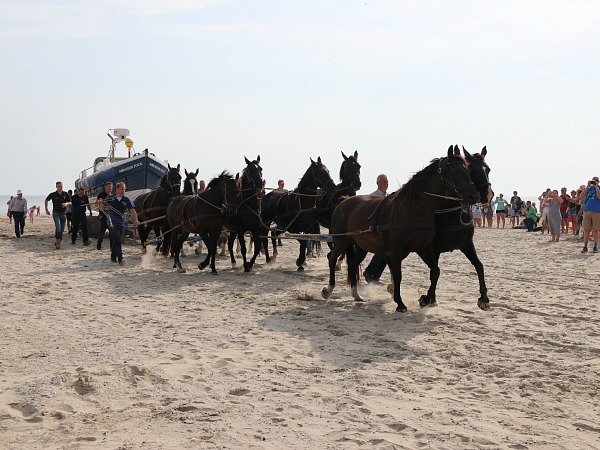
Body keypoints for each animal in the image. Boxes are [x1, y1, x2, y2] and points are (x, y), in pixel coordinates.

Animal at [322, 146, 480, 312]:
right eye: (455, 171)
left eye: (467, 171)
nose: (474, 196)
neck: (412, 209)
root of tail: (343, 202)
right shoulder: (396, 250)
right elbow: (398, 275)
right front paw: (400, 303)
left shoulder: (422, 247)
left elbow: (435, 271)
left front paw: (424, 299)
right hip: (341, 240)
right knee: (332, 259)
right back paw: (328, 290)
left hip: (361, 247)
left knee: (352, 266)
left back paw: (356, 295)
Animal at [414, 146, 494, 312]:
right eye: (471, 169)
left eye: (488, 169)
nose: (488, 196)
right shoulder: (432, 248)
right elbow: (434, 271)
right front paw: (428, 297)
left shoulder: (466, 244)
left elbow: (479, 266)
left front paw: (484, 298)